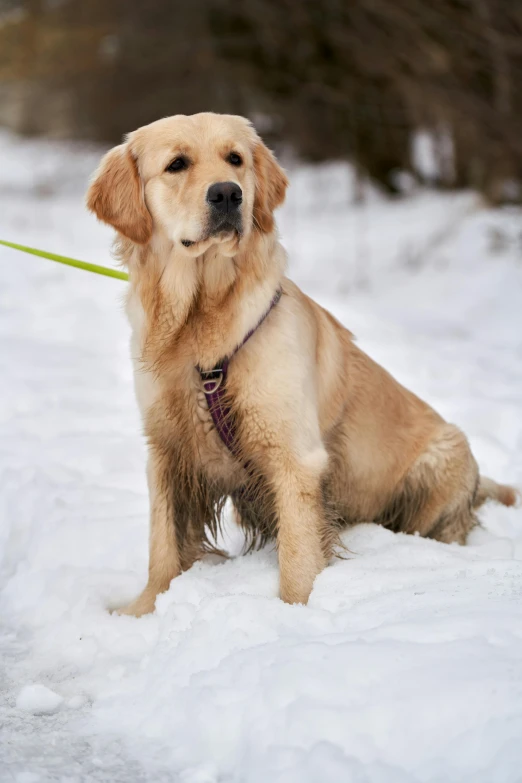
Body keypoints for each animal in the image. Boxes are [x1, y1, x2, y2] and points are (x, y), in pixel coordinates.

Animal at [86, 112, 516, 620]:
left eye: (236, 159)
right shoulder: (168, 449)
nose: (228, 193)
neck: (202, 318)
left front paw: (295, 614)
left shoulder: (294, 457)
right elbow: (163, 544)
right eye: (176, 164)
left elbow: (296, 558)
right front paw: (144, 610)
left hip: (444, 454)